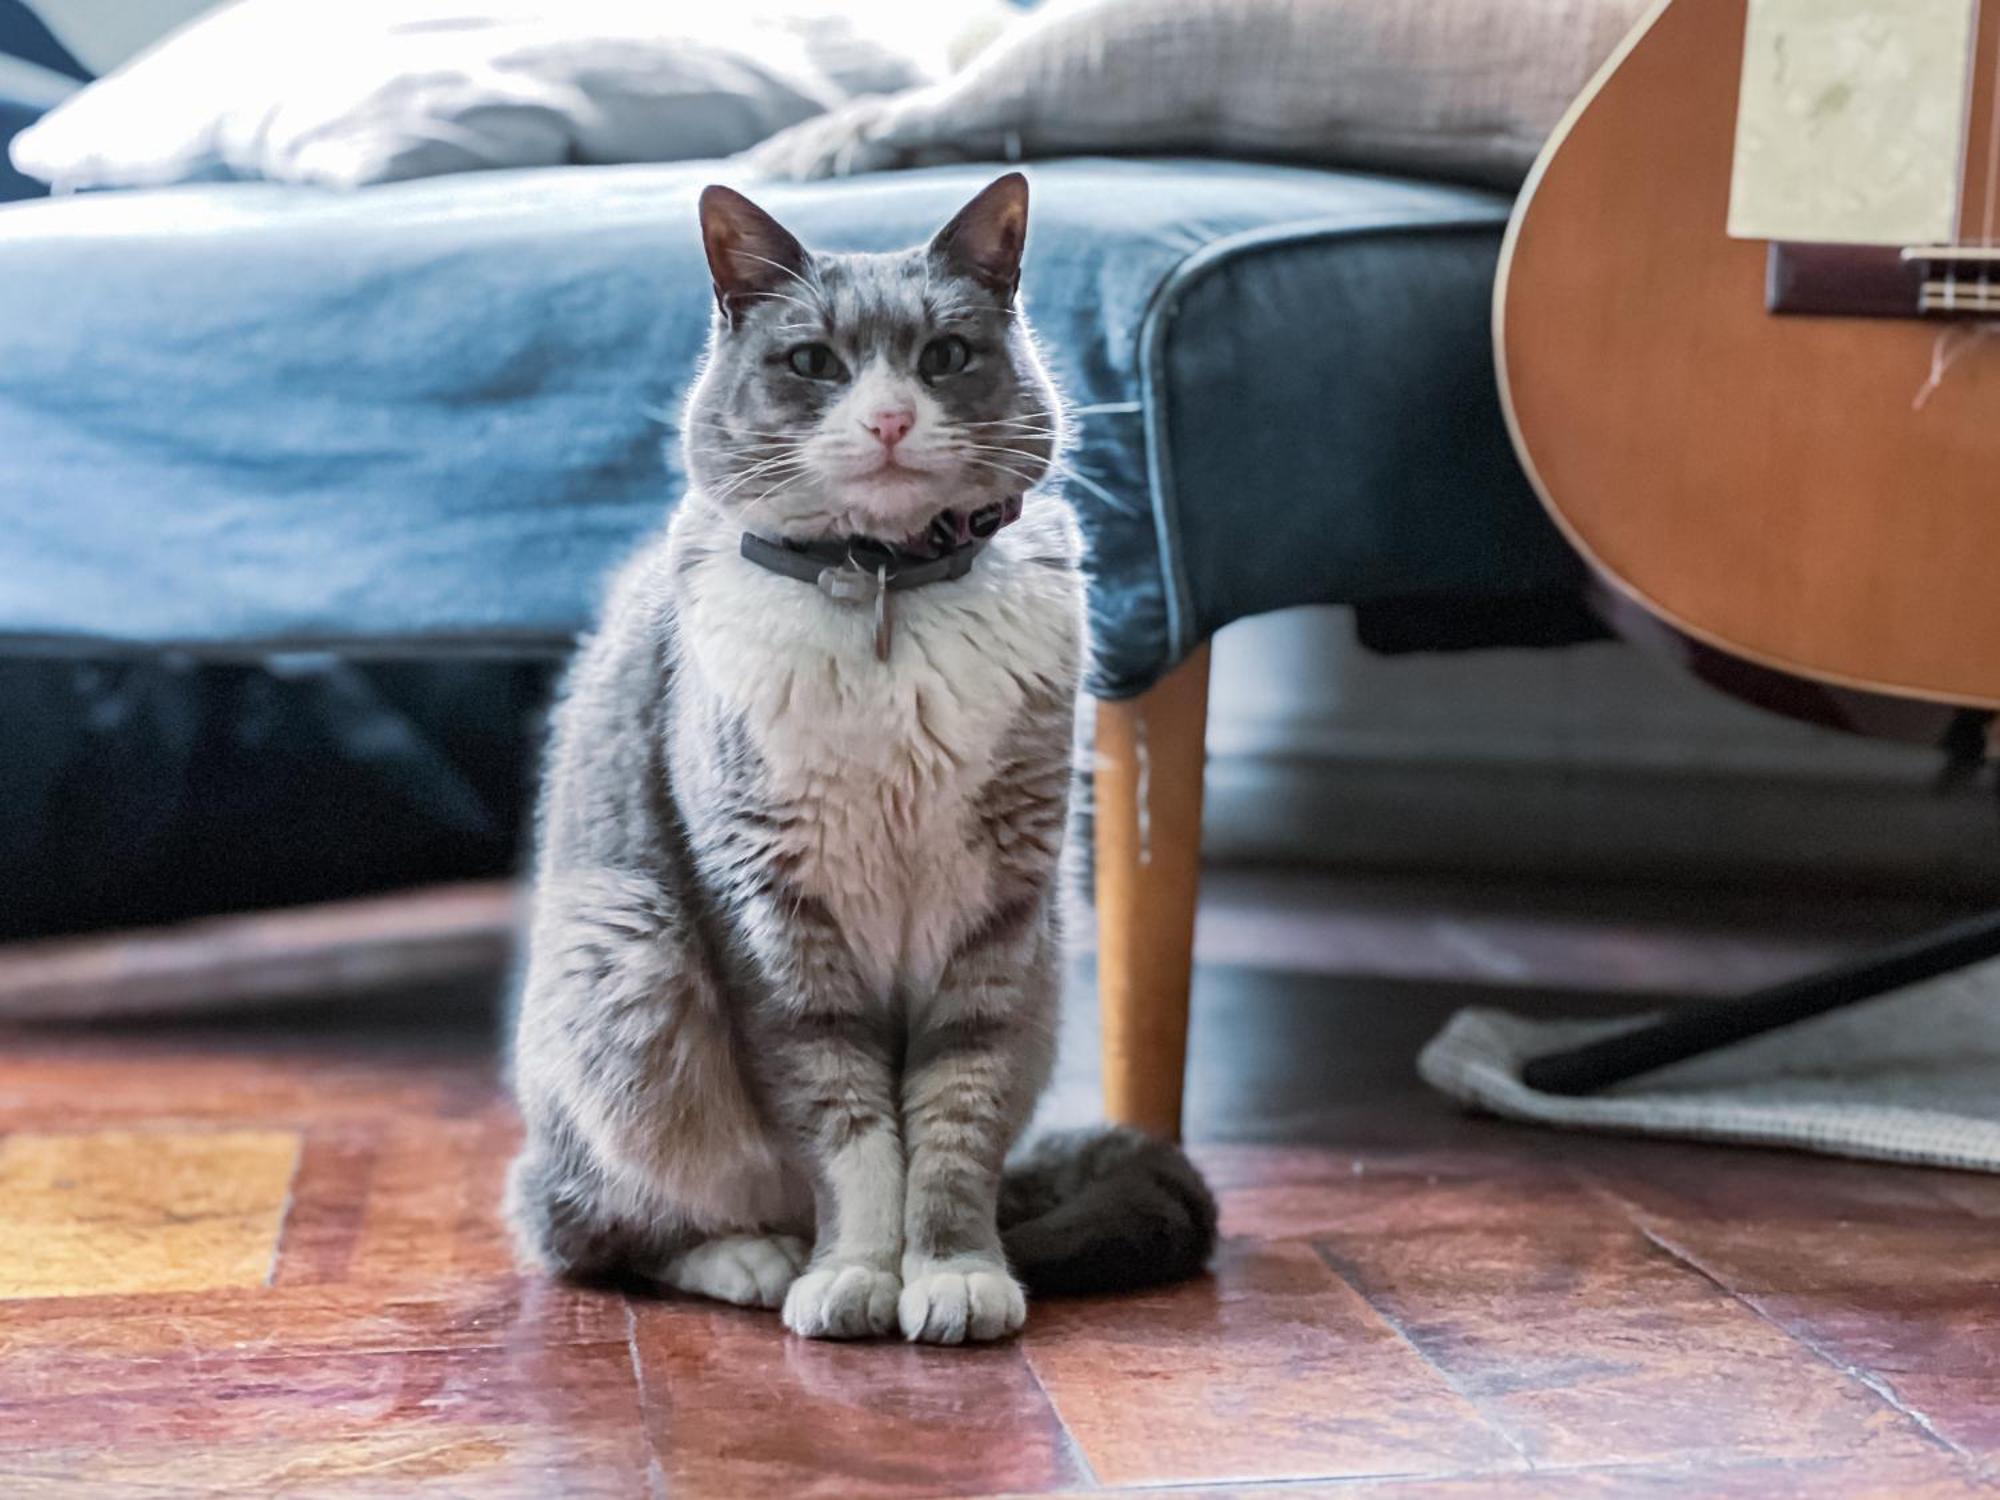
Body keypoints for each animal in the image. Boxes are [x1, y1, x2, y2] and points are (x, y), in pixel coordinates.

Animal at [508, 176, 1208, 1352]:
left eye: (943, 356)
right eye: (813, 363)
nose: (887, 419)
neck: (882, 582)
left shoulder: (1000, 917)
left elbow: (952, 1117)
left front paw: (955, 1275)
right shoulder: (772, 914)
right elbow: (844, 1123)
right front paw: (852, 1276)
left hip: (1043, 981)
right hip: (628, 957)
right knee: (589, 1231)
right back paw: (755, 1258)